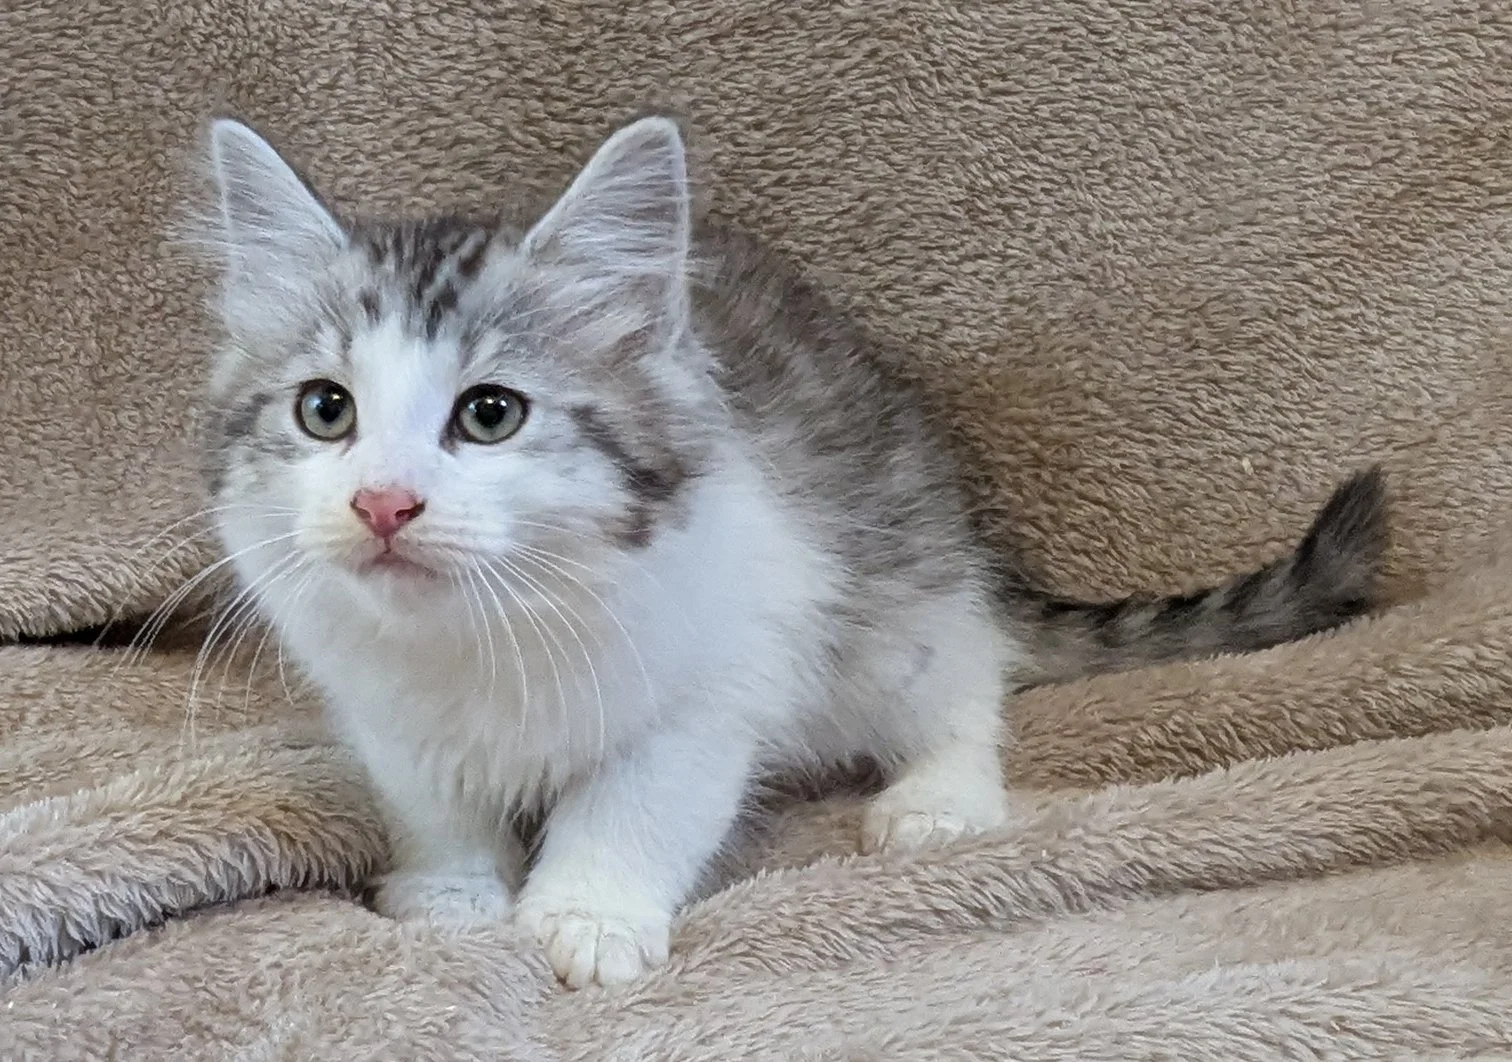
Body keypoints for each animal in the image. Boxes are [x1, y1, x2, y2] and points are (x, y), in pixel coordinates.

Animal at [199, 114, 1387, 988]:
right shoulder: (382, 710)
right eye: (325, 411)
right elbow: (431, 802)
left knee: (966, 683)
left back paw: (938, 796)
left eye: (490, 414)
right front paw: (450, 896)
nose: (382, 504)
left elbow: (634, 807)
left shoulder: (717, 676)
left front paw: (586, 915)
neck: (481, 632)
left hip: (898, 601)